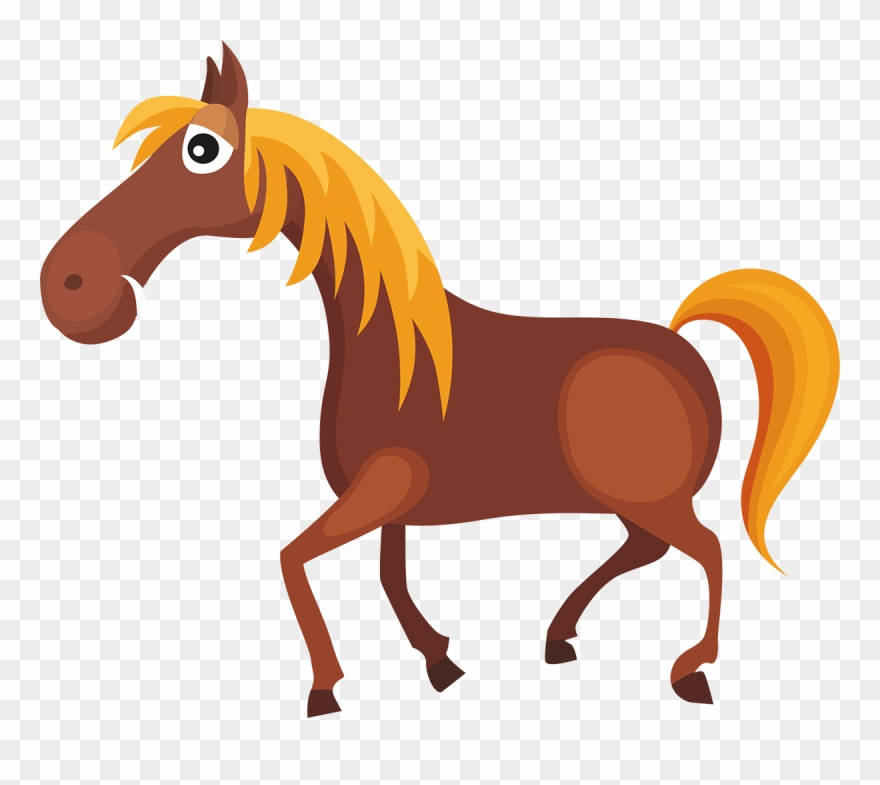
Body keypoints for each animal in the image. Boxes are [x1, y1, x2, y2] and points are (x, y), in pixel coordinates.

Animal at [40, 45, 840, 717]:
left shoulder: (385, 486)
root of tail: (682, 345)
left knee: (706, 549)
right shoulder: (390, 501)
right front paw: (439, 660)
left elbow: (294, 557)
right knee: (649, 550)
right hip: (630, 500)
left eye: (201, 149)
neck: (397, 355)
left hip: (651, 496)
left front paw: (326, 688)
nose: (70, 285)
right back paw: (559, 635)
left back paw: (690, 670)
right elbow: (389, 577)